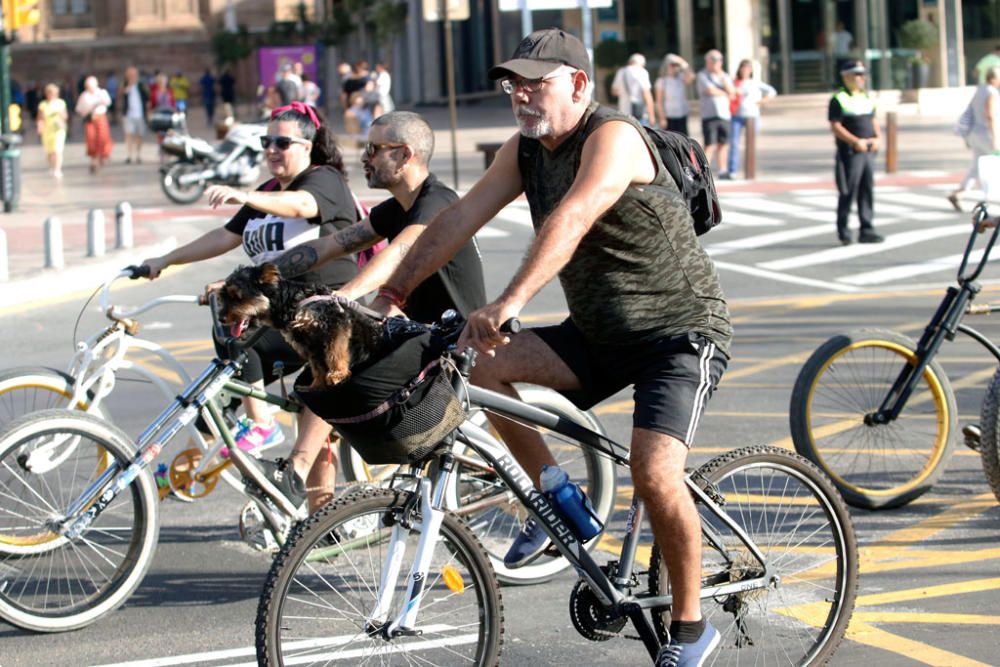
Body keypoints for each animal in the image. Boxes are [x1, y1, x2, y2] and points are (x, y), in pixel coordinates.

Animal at [217, 262, 384, 388]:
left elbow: (335, 352)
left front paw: (337, 374)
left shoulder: (335, 324)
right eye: (222, 297)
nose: (220, 318)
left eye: (237, 297)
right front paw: (317, 384)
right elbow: (316, 364)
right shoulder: (307, 342)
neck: (291, 302)